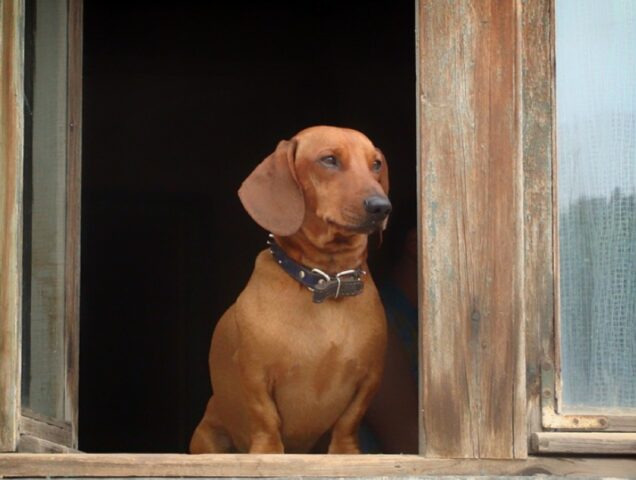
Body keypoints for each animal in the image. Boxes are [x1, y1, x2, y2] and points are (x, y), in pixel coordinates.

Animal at [189, 124, 390, 454]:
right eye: (329, 160)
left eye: (376, 164)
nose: (381, 207)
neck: (327, 281)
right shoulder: (255, 375)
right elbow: (265, 417)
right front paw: (268, 452)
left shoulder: (370, 377)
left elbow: (349, 420)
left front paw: (346, 453)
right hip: (208, 436)